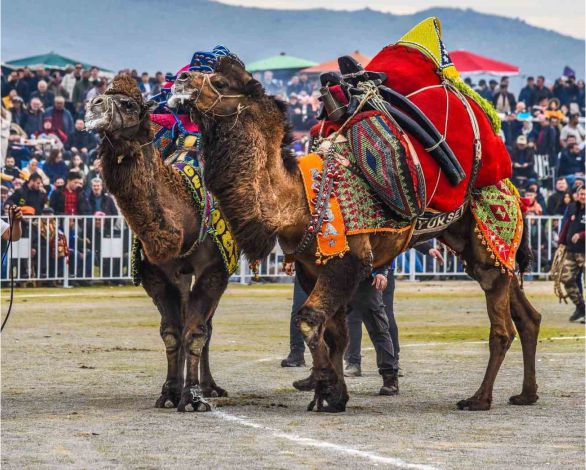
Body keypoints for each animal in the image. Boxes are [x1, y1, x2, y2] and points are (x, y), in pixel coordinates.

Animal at [85, 76, 229, 412]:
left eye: (128, 104)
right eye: (104, 95)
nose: (93, 105)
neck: (185, 215)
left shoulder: (214, 270)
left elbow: (196, 332)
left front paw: (193, 397)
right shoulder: (156, 274)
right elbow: (172, 333)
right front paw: (169, 392)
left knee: (207, 326)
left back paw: (210, 387)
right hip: (182, 276)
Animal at [171, 57, 540, 414]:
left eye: (220, 82)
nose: (180, 80)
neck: (298, 198)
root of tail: (511, 187)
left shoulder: (348, 261)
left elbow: (310, 320)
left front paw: (327, 388)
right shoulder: (311, 267)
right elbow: (334, 333)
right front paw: (330, 395)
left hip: (491, 235)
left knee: (502, 328)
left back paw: (479, 398)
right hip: (480, 246)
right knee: (528, 316)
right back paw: (527, 394)